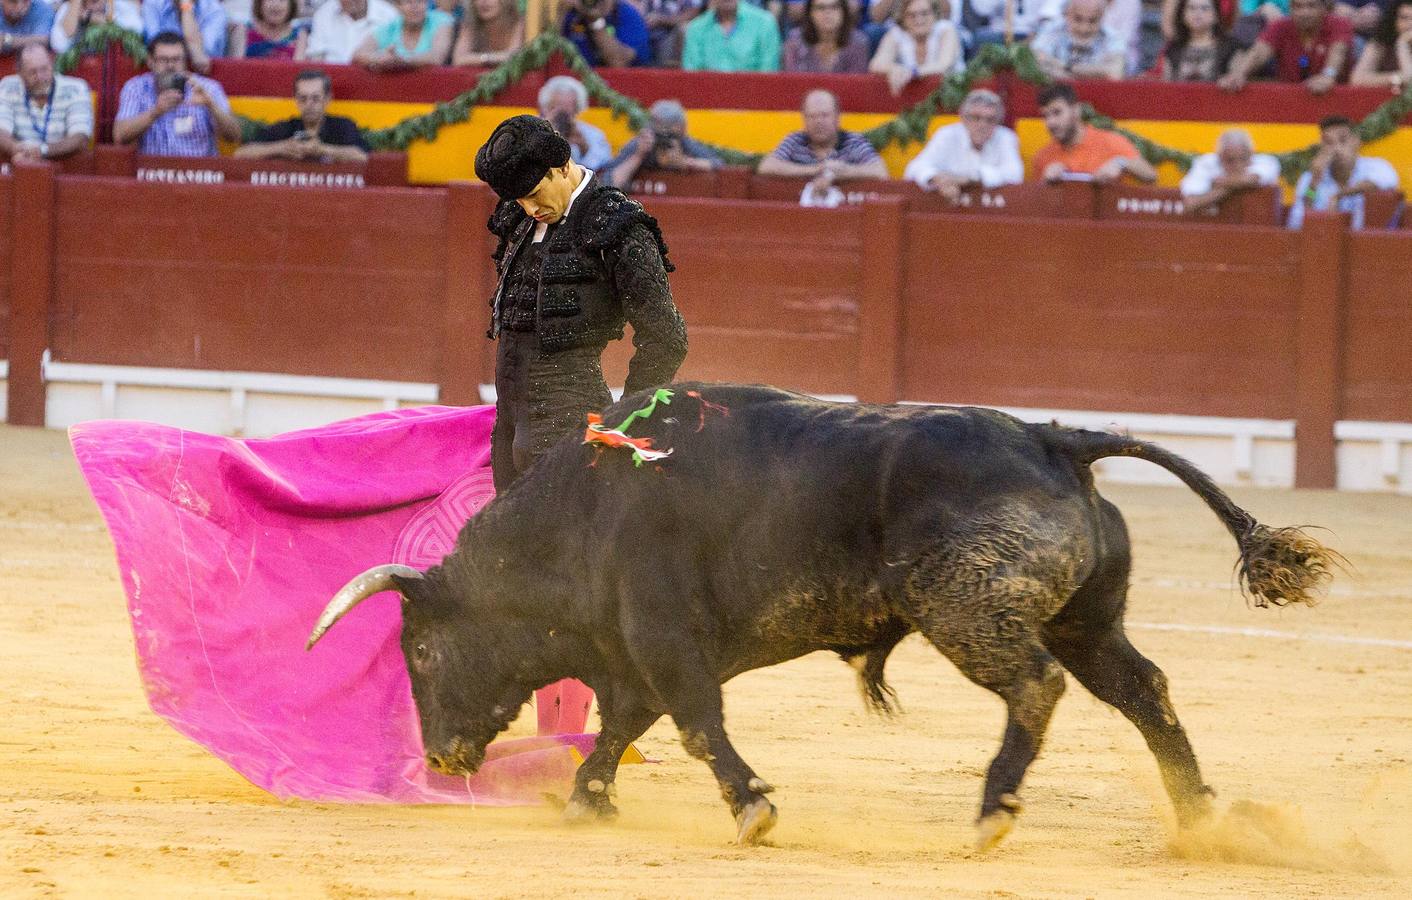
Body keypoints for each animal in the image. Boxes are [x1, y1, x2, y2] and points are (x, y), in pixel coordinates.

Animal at [306, 381, 1332, 847]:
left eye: (422, 652)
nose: (439, 757)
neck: (582, 513)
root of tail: (1052, 440)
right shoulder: (637, 650)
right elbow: (630, 722)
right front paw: (589, 797)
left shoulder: (662, 635)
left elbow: (692, 722)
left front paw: (753, 808)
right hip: (1088, 619)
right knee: (1143, 688)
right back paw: (1200, 816)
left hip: (967, 607)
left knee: (1036, 686)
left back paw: (993, 810)